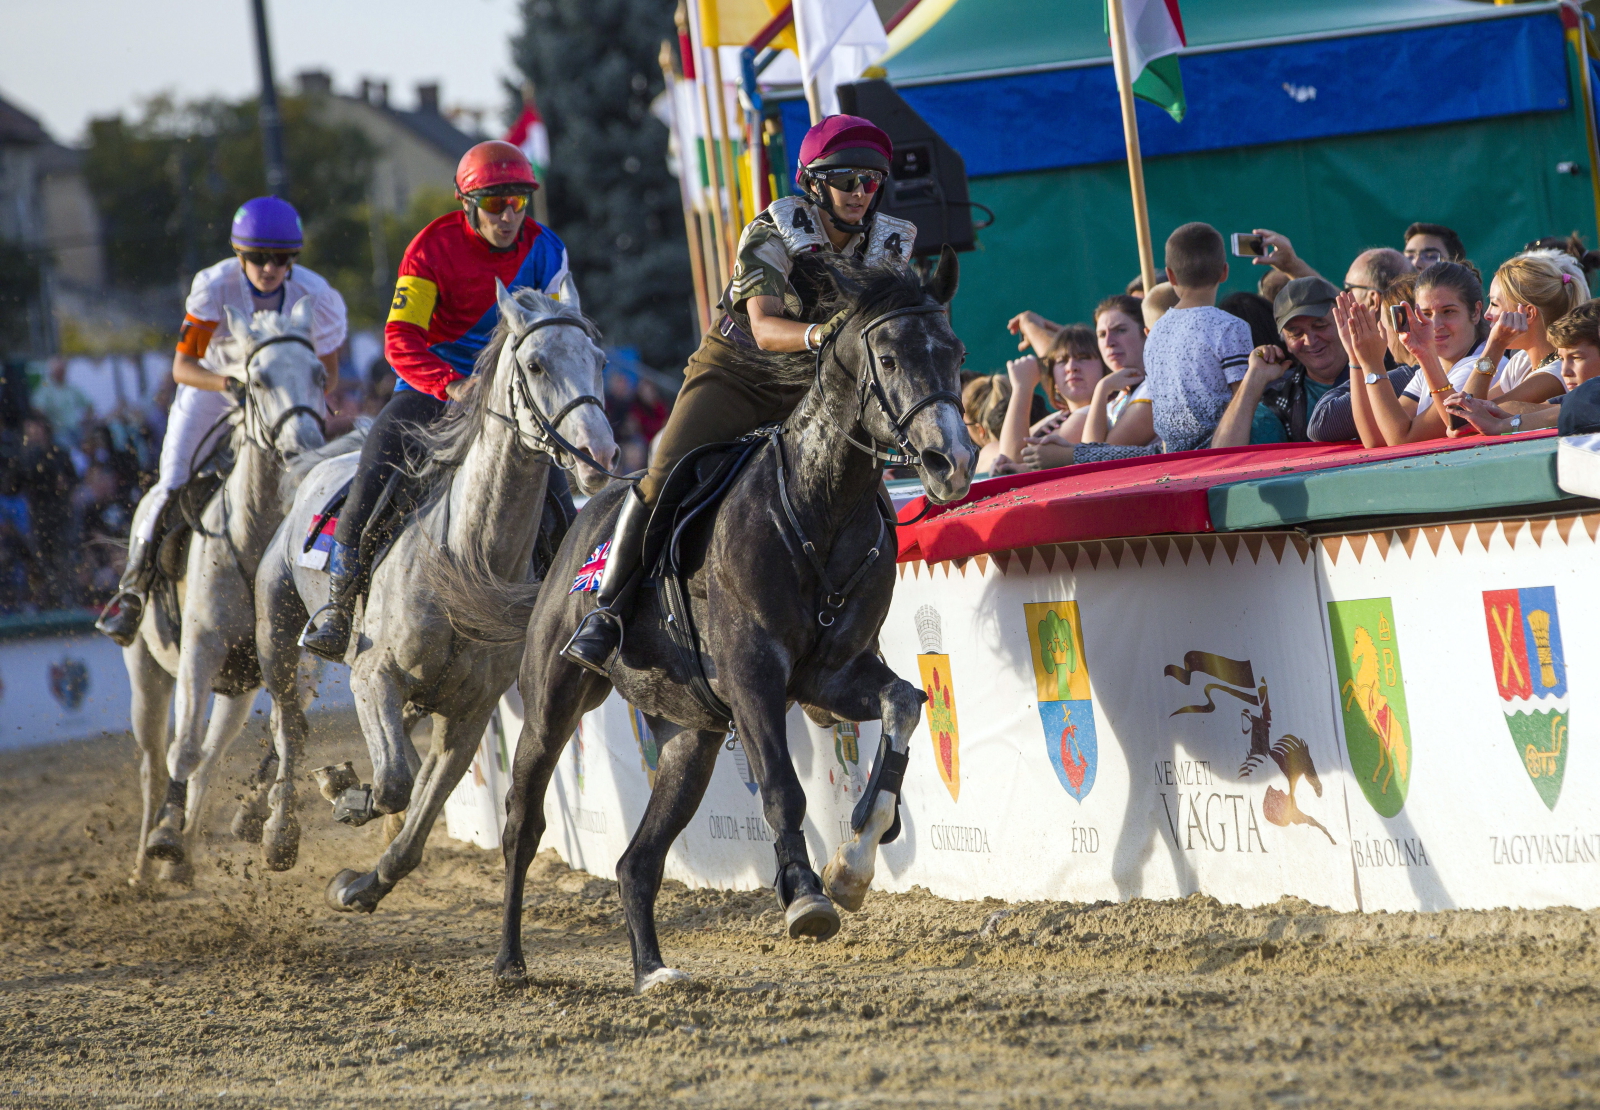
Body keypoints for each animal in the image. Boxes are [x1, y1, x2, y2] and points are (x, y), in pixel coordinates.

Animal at [124, 302, 331, 889]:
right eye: (258, 380)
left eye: (319, 374)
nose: (303, 446)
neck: (256, 537)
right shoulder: (201, 649)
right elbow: (184, 747)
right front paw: (166, 839)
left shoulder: (299, 658)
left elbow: (288, 732)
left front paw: (262, 820)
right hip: (147, 671)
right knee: (157, 761)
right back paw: (147, 862)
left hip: (235, 691)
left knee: (212, 757)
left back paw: (182, 859)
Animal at [254, 283, 617, 908]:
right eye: (536, 364)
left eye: (598, 360)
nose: (600, 453)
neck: (466, 561)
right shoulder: (372, 672)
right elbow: (395, 783)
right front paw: (347, 793)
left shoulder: (469, 714)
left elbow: (417, 816)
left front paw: (361, 885)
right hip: (274, 629)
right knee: (290, 723)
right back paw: (279, 832)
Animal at [496, 249, 972, 991]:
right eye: (890, 357)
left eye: (955, 352)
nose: (952, 462)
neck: (818, 508)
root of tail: (581, 517)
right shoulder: (754, 676)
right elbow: (781, 787)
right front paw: (805, 895)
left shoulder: (831, 676)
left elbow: (905, 703)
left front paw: (854, 863)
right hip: (552, 702)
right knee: (523, 822)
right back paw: (511, 961)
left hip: (689, 738)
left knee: (637, 861)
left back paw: (653, 971)